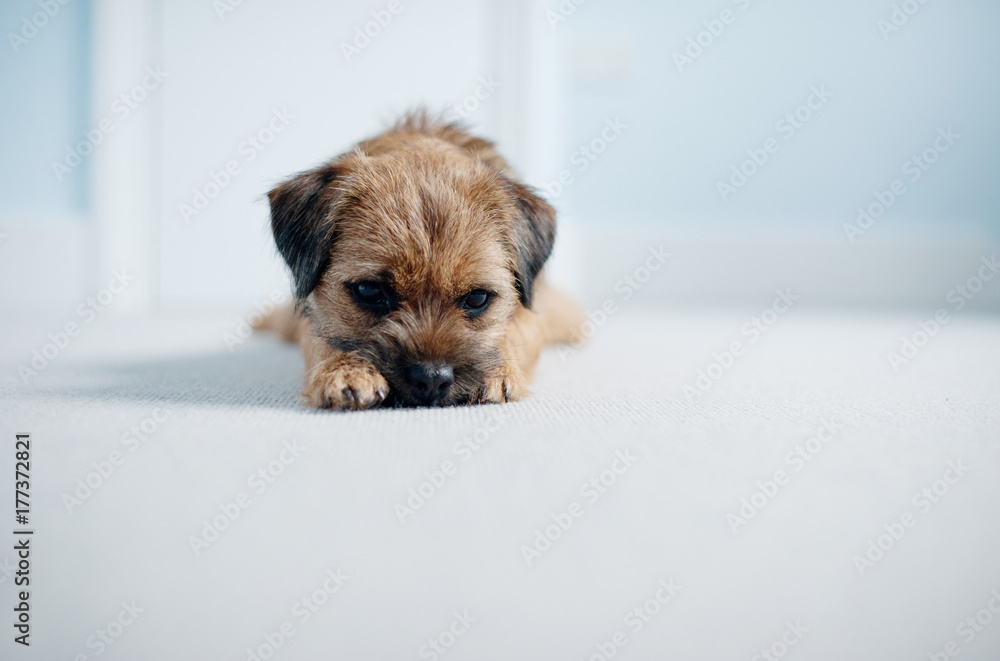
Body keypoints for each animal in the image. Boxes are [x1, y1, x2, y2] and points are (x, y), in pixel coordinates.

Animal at [256, 111, 582, 409]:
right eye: (369, 291)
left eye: (477, 298)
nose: (431, 378)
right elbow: (321, 339)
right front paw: (344, 370)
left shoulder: (532, 315)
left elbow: (515, 331)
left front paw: (499, 371)